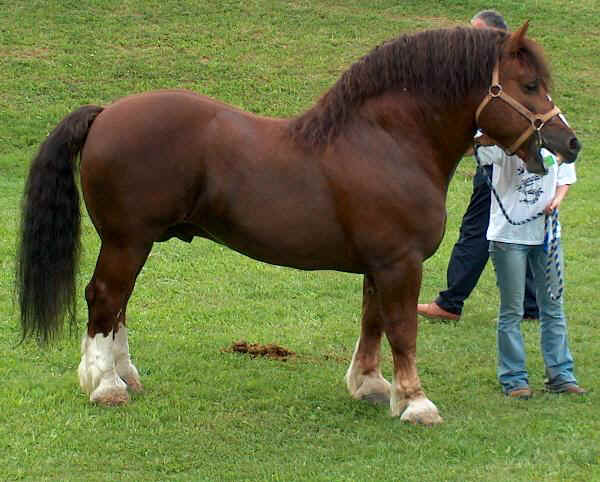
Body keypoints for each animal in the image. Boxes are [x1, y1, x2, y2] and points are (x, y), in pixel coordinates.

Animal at [17, 22, 580, 424]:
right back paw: (105, 385)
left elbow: (372, 320)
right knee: (105, 299)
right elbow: (402, 328)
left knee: (118, 305)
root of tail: (106, 112)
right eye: (529, 84)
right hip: (126, 241)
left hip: (135, 243)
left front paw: (371, 387)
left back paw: (125, 376)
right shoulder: (400, 263)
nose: (570, 142)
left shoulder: (380, 264)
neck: (388, 141)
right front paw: (417, 403)